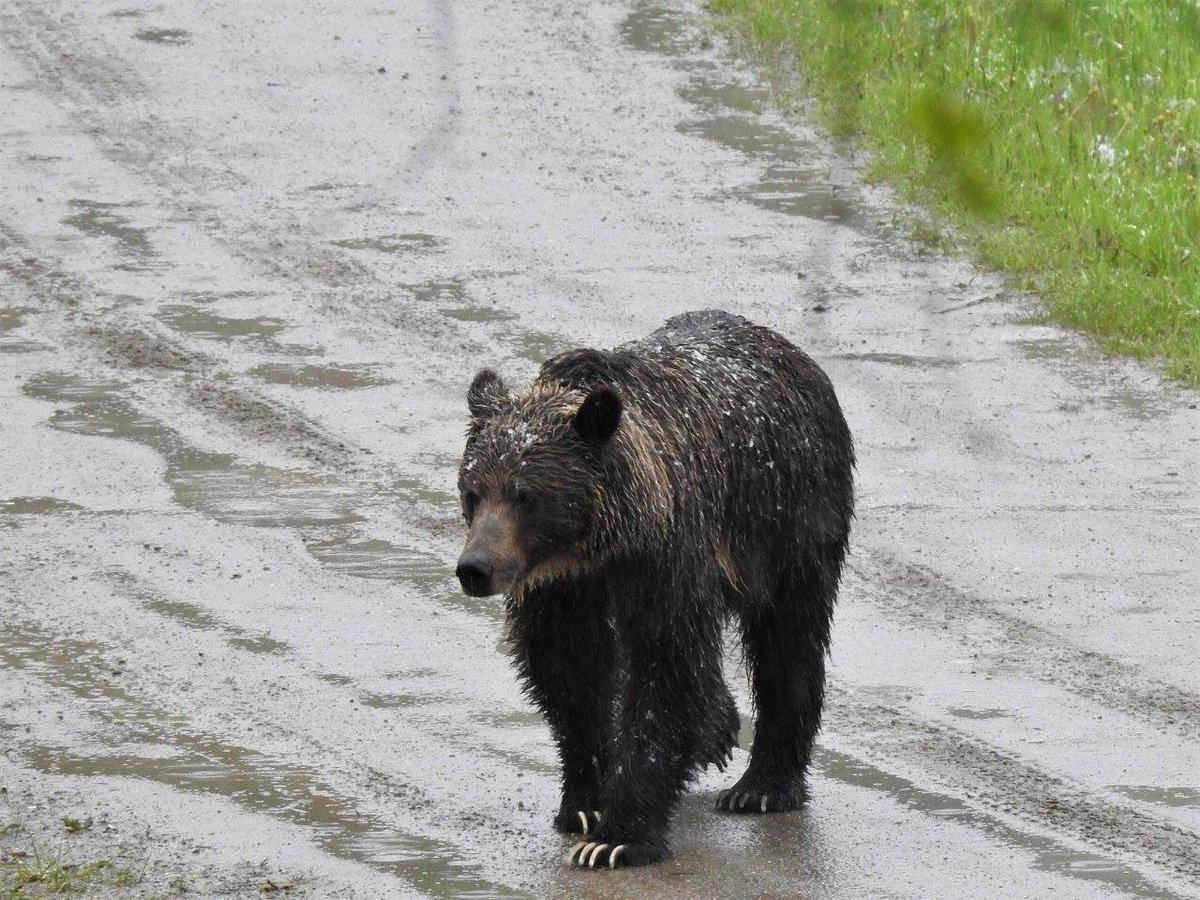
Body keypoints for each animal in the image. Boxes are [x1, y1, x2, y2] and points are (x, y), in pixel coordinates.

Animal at [455, 310, 854, 869]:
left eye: (525, 496)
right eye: (473, 490)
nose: (476, 568)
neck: (596, 544)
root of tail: (794, 353)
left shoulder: (664, 558)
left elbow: (665, 671)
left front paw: (617, 837)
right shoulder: (562, 588)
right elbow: (569, 673)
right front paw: (584, 804)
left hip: (793, 519)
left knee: (788, 640)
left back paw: (762, 786)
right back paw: (719, 731)